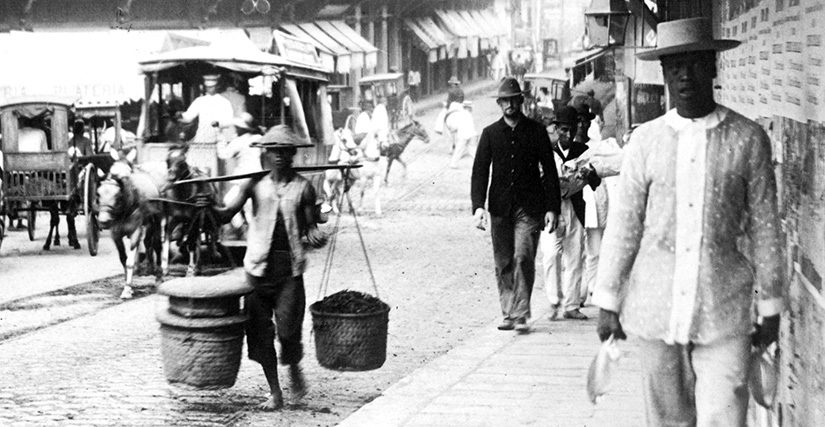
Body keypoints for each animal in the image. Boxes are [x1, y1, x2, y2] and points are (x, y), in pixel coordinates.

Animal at [97, 150, 167, 300]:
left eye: (117, 195)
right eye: (98, 194)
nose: (104, 221)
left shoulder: (136, 230)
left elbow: (129, 261)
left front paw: (127, 289)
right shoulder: (115, 234)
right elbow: (123, 259)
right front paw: (128, 284)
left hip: (157, 221)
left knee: (157, 245)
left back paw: (158, 276)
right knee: (147, 243)